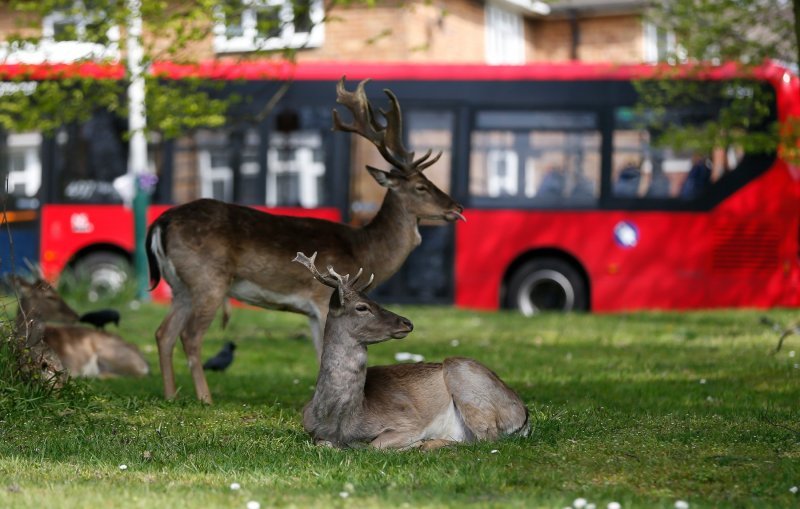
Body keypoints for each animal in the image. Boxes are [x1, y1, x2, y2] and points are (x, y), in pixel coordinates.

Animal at [147, 76, 466, 400]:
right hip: (208, 279)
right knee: (190, 335)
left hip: (180, 285)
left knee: (163, 333)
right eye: (421, 187)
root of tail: (162, 221)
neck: (365, 250)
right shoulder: (323, 298)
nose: (456, 207)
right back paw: (205, 399)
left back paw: (171, 396)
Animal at [294, 250, 532, 448]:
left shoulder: (408, 421)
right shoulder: (311, 430)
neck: (340, 422)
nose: (407, 322)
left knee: (486, 439)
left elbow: (374, 446)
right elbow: (323, 445)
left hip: (467, 381)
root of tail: (524, 414)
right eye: (362, 307)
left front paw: (413, 444)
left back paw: (428, 444)